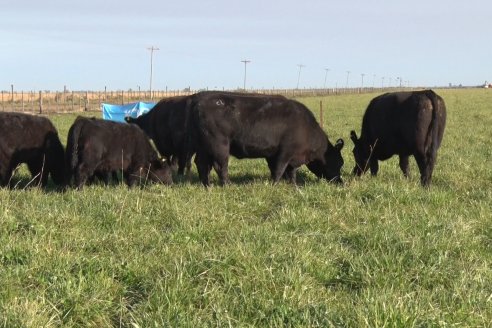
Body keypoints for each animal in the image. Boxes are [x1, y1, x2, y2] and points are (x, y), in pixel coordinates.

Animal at [186, 91, 344, 186]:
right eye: (339, 163)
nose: (340, 182)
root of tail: (199, 99)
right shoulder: (285, 152)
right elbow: (279, 170)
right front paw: (275, 185)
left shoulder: (279, 155)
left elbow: (289, 171)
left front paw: (293, 185)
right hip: (219, 145)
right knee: (220, 166)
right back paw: (227, 185)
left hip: (203, 146)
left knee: (201, 163)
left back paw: (207, 185)